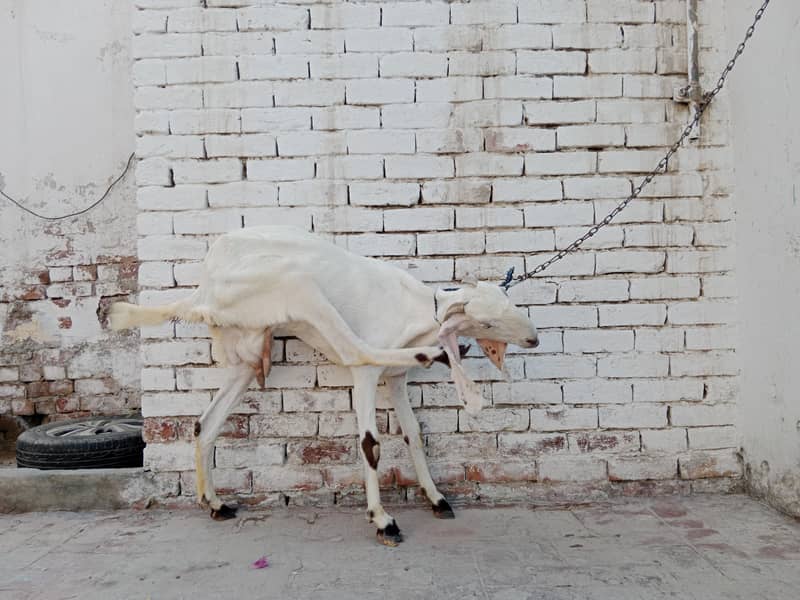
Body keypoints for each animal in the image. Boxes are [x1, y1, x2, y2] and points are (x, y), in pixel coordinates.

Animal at [110, 226, 538, 545]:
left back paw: (215, 503)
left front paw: (436, 498)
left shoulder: (395, 380)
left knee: (205, 424)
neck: (416, 309)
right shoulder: (368, 377)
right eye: (485, 322)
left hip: (247, 353)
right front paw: (383, 520)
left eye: (510, 305)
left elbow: (414, 434)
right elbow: (370, 443)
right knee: (356, 350)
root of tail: (204, 290)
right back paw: (434, 355)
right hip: (297, 286)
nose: (533, 339)